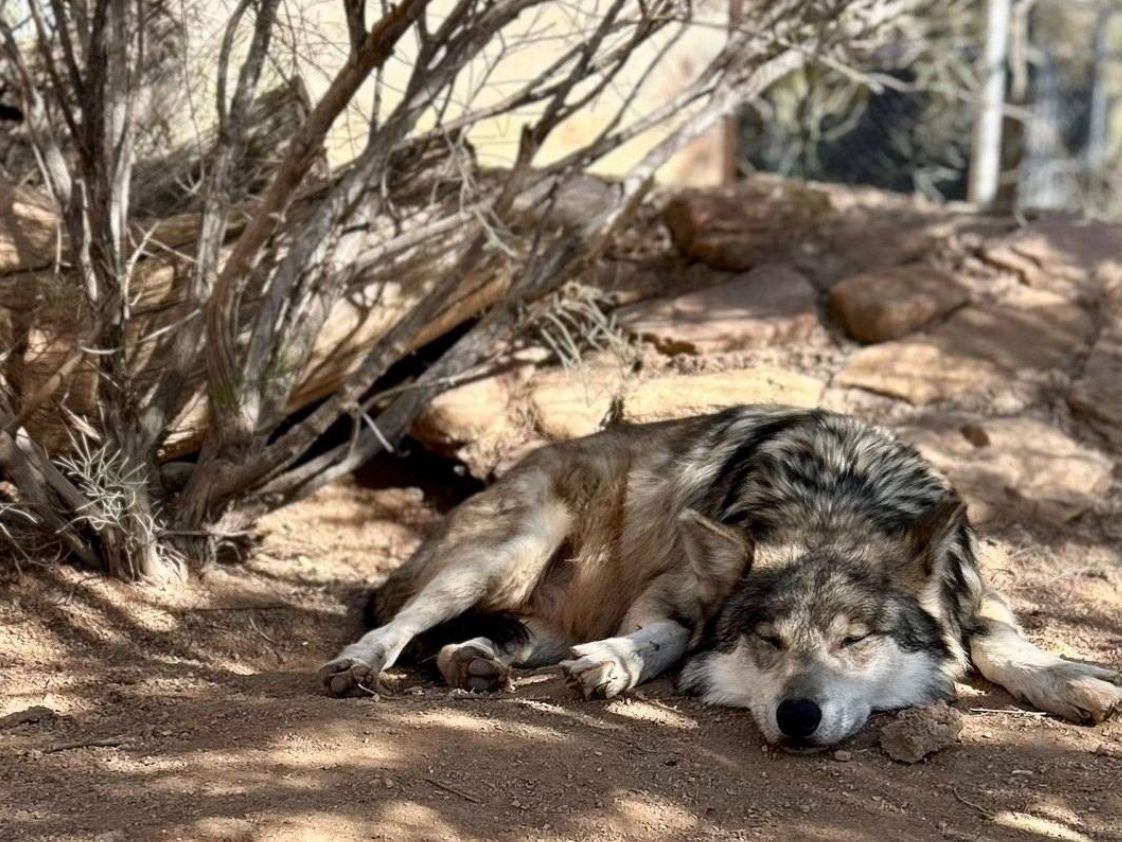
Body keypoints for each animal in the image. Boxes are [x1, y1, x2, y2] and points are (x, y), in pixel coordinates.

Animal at [319, 406, 1121, 748]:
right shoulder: (673, 592)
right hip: (513, 546)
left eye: (856, 640)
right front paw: (616, 662)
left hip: (532, 619)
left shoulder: (979, 598)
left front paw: (1074, 680)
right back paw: (360, 665)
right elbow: (673, 635)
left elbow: (1005, 646)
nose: (799, 716)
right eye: (768, 640)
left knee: (465, 643)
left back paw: (476, 666)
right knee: (400, 623)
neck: (835, 498)